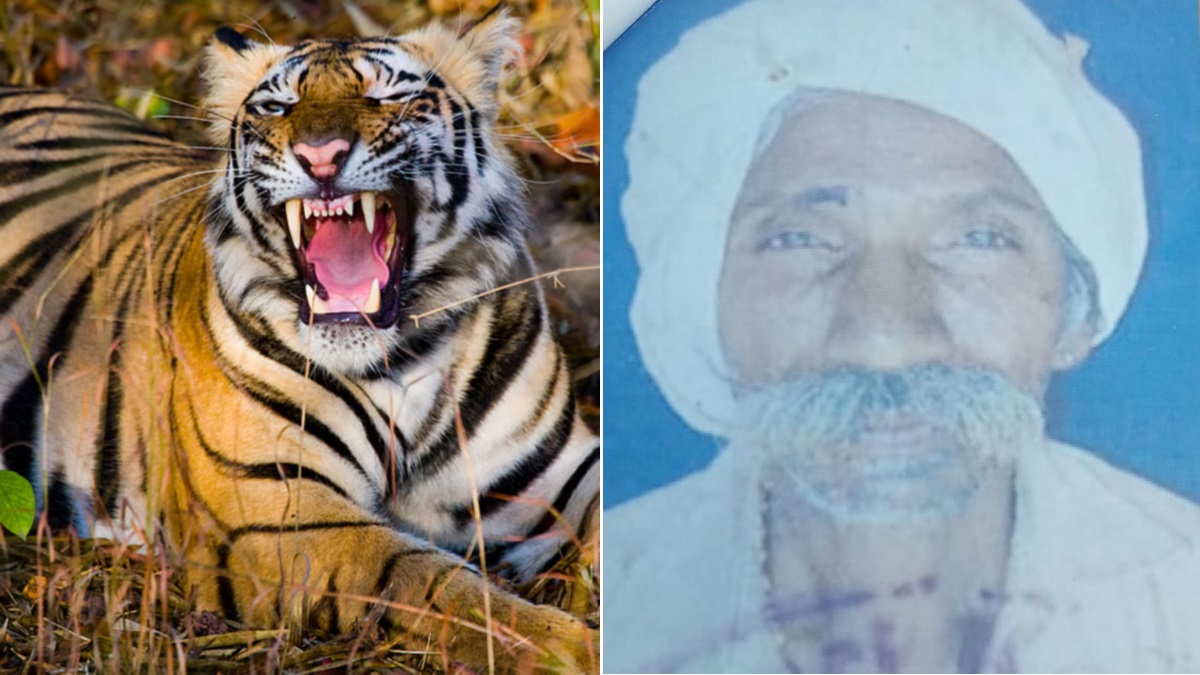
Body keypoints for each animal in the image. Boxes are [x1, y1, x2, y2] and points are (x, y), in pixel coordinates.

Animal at [0, 9, 599, 672]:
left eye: (388, 96)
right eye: (278, 106)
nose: (321, 157)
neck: (402, 361)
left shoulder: (563, 476)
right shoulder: (282, 513)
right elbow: (432, 582)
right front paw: (565, 646)